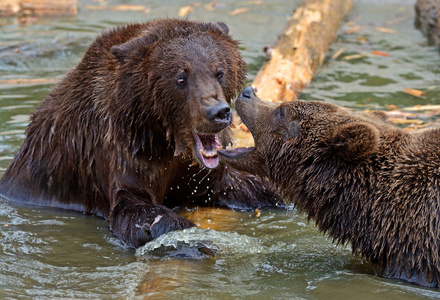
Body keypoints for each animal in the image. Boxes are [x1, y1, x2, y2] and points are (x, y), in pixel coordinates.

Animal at [0, 19, 282, 248]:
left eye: (219, 71)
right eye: (181, 77)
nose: (218, 112)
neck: (167, 139)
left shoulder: (199, 173)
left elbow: (245, 182)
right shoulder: (125, 151)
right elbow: (135, 208)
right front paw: (189, 238)